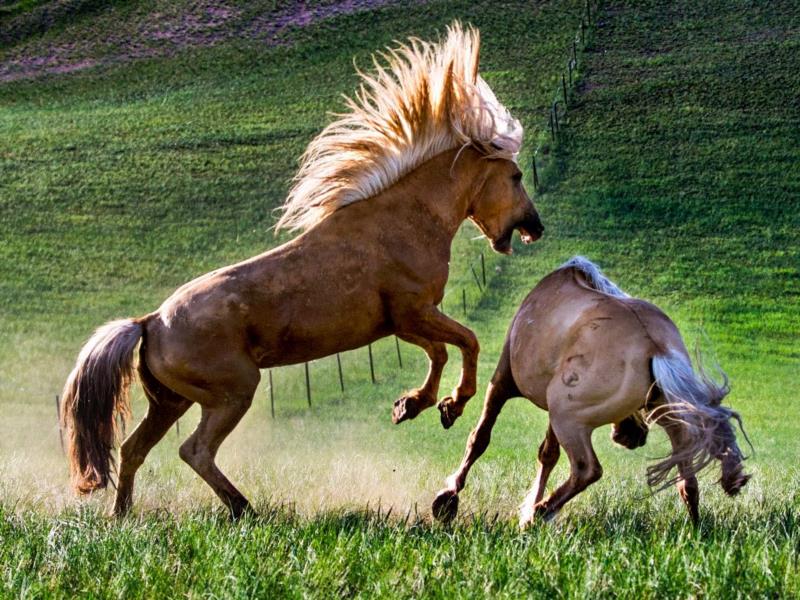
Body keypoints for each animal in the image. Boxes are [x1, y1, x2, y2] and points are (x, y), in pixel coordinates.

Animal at [59, 23, 543, 518]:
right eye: (517, 176)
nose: (535, 227)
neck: (405, 220)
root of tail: (151, 321)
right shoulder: (413, 313)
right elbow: (467, 341)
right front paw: (449, 405)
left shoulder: (404, 321)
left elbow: (442, 352)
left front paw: (413, 405)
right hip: (232, 391)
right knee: (194, 450)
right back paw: (244, 508)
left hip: (170, 401)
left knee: (134, 448)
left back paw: (123, 514)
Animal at [432, 257, 750, 527]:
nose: (633, 437)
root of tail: (656, 346)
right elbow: (547, 455)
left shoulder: (502, 381)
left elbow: (479, 438)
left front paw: (448, 498)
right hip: (665, 414)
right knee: (688, 480)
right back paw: (695, 528)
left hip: (568, 416)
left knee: (587, 469)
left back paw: (540, 512)